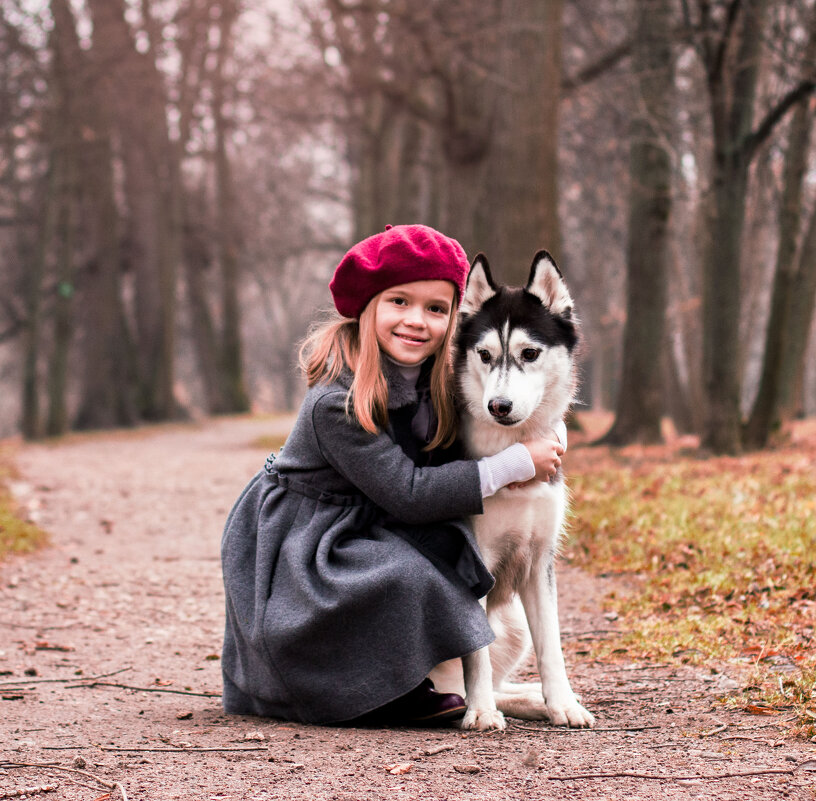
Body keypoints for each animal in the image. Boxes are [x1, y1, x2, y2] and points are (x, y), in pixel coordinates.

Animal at [430, 250, 596, 732]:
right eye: (485, 355)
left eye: (530, 353)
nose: (498, 406)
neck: (514, 448)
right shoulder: (475, 563)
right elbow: (477, 654)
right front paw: (481, 711)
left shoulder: (540, 560)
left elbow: (552, 648)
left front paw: (562, 703)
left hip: (516, 623)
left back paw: (535, 699)